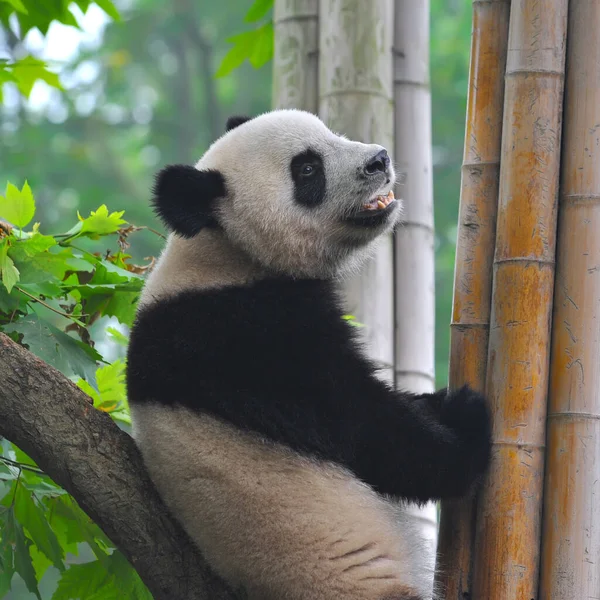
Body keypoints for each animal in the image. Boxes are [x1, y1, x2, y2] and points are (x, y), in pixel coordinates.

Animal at [126, 109, 492, 600]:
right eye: (307, 170)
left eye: (331, 132)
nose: (379, 160)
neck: (222, 252)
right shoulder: (247, 339)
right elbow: (366, 426)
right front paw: (466, 420)